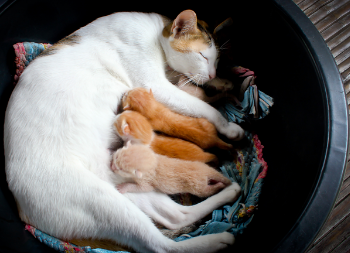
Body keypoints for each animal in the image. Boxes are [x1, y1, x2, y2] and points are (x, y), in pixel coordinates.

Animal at [3, 9, 243, 251]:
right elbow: (205, 108)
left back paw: (230, 194)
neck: (157, 31)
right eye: (203, 56)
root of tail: (21, 210)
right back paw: (219, 238)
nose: (212, 74)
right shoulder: (156, 85)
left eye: (217, 60)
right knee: (160, 245)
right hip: (104, 203)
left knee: (177, 216)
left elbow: (190, 84)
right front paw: (228, 126)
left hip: (132, 182)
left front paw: (221, 82)